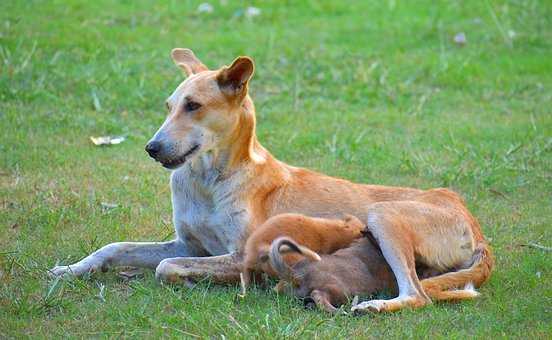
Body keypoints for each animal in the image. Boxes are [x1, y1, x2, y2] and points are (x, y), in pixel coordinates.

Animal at [50, 48, 492, 314]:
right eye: (169, 106)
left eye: (193, 106)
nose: (151, 148)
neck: (209, 181)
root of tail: (472, 222)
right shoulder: (187, 243)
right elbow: (114, 248)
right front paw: (71, 269)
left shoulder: (236, 254)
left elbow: (165, 266)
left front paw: (191, 281)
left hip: (383, 215)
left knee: (418, 295)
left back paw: (376, 306)